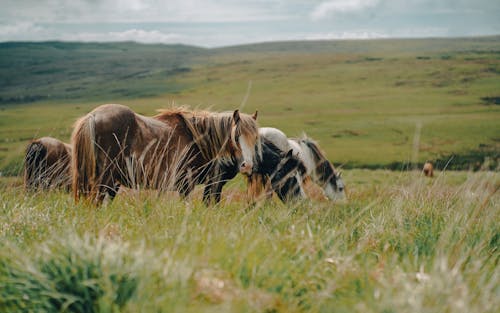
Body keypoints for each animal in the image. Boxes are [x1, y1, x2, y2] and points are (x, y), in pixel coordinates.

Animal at [72, 103, 260, 204]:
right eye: (236, 136)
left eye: (256, 137)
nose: (247, 166)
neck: (200, 141)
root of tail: (93, 116)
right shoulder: (194, 184)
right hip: (106, 179)